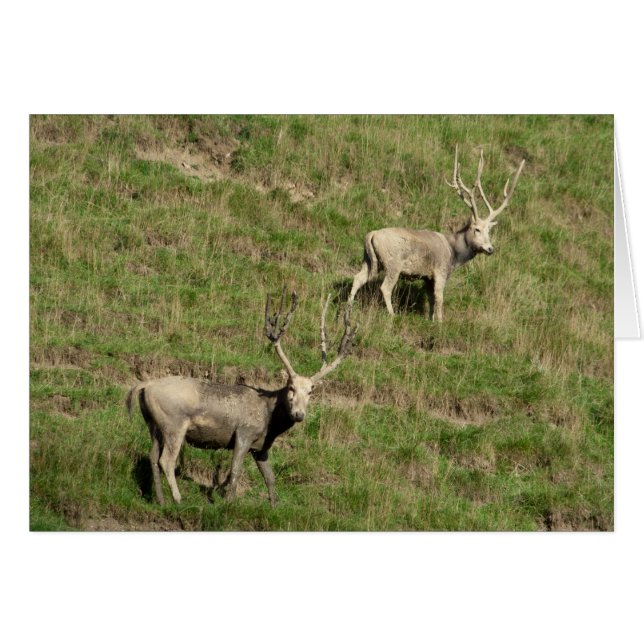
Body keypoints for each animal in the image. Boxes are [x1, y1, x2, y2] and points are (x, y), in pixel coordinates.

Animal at [126, 289, 357, 506]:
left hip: (153, 423)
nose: (299, 414)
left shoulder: (261, 447)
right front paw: (228, 503)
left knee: (152, 457)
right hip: (174, 423)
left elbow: (270, 478)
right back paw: (177, 499)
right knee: (166, 460)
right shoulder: (244, 432)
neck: (269, 421)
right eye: (291, 388)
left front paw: (274, 506)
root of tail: (145, 385)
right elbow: (235, 471)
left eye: (311, 391)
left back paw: (160, 499)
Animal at [347, 145, 525, 321]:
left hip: (369, 260)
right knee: (385, 287)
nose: (490, 248)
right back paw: (392, 315)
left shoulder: (427, 277)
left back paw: (348, 309)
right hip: (393, 263)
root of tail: (371, 235)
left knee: (358, 278)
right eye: (477, 229)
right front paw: (440, 322)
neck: (455, 255)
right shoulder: (440, 270)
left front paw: (430, 320)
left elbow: (431, 299)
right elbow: (439, 298)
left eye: (489, 230)